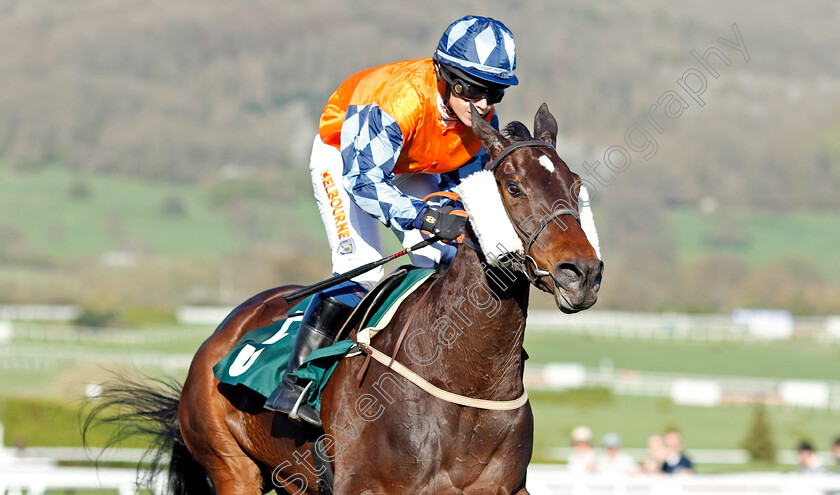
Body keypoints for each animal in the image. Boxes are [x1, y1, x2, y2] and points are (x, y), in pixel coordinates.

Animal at [82, 102, 600, 494]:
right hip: (231, 467)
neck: (465, 383)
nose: (582, 273)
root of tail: (218, 336)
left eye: (575, 186)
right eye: (513, 186)